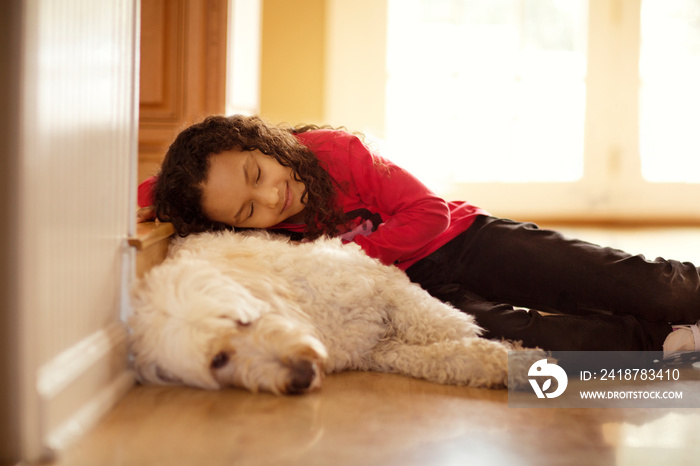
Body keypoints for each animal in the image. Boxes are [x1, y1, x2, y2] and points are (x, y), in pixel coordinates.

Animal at [130, 229, 540, 394]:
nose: (298, 376)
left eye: (242, 320)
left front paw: (505, 350)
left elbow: (439, 322)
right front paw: (504, 362)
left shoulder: (385, 284)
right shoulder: (378, 350)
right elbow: (447, 357)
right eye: (218, 360)